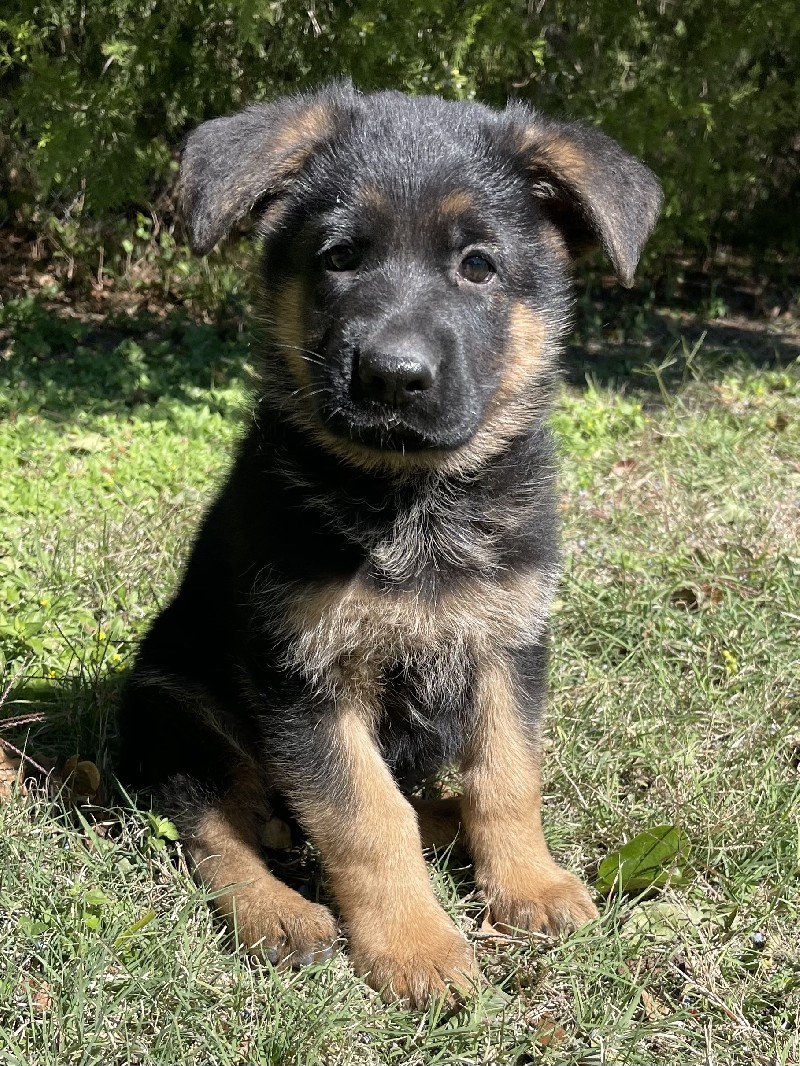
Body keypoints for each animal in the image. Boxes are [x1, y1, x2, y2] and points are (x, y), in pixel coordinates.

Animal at [117, 83, 657, 1006]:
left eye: (478, 265)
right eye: (339, 258)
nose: (392, 377)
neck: (412, 499)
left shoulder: (508, 647)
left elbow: (507, 776)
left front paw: (529, 882)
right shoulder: (305, 680)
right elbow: (366, 818)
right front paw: (414, 944)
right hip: (177, 709)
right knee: (213, 826)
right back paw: (280, 912)